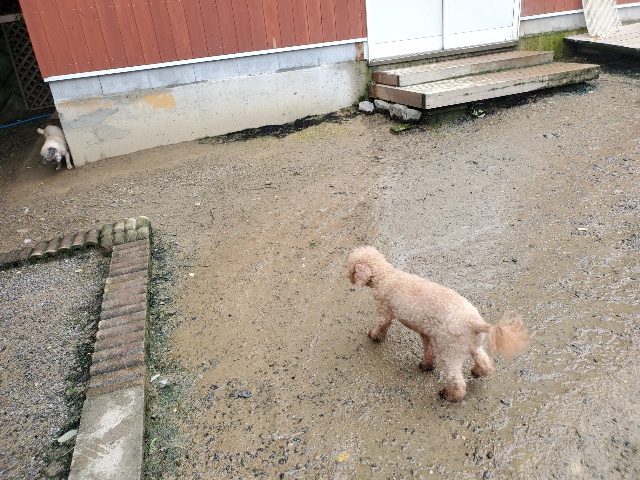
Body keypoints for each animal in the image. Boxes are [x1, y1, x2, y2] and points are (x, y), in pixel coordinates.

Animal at [347, 246, 529, 402]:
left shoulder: (384, 310)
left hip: (450, 352)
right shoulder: (426, 331)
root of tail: (475, 323)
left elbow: (382, 325)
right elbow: (429, 350)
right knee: (483, 361)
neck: (384, 274)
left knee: (458, 381)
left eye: (351, 267)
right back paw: (477, 372)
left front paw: (374, 336)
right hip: (470, 345)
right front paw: (427, 364)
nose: (348, 277)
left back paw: (450, 395)